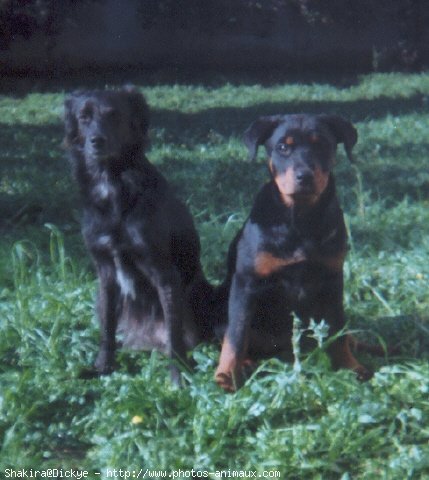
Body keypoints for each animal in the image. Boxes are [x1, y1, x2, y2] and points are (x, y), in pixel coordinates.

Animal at [64, 88, 212, 384]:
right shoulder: (105, 272)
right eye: (84, 117)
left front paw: (177, 378)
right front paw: (102, 367)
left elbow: (174, 335)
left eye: (113, 115)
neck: (111, 184)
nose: (96, 141)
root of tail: (148, 343)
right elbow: (107, 329)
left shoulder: (164, 274)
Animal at [214, 114, 372, 392]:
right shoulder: (246, 282)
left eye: (322, 145)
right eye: (282, 147)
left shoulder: (333, 279)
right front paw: (227, 375)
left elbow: (337, 328)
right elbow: (236, 333)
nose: (304, 176)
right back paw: (246, 364)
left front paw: (350, 367)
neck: (300, 218)